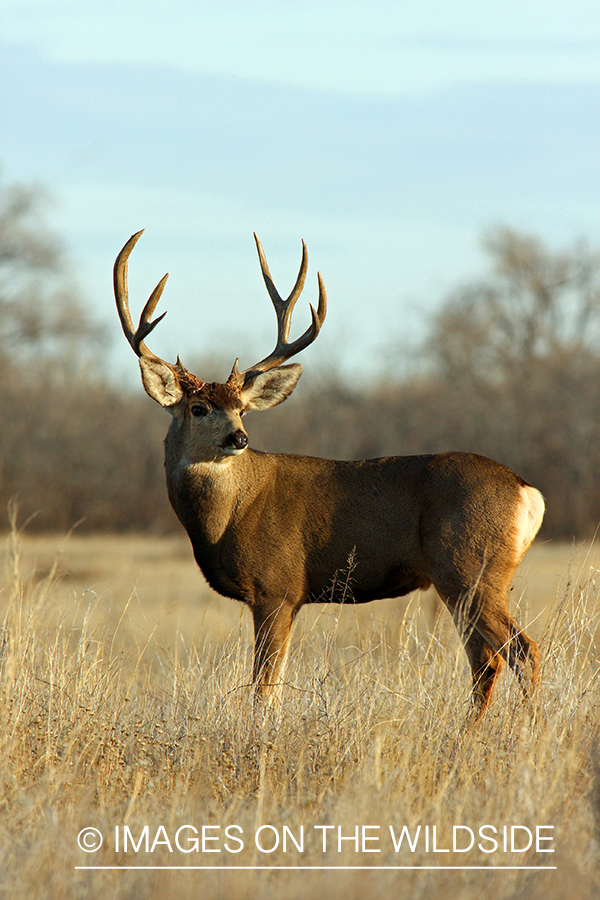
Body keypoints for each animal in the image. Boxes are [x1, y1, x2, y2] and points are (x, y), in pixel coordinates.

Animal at [114, 230, 545, 717]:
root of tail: (527, 492)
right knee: (486, 661)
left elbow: (264, 689)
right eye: (199, 408)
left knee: (522, 651)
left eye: (241, 408)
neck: (228, 517)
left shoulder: (277, 586)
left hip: (471, 566)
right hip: (462, 580)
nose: (238, 438)